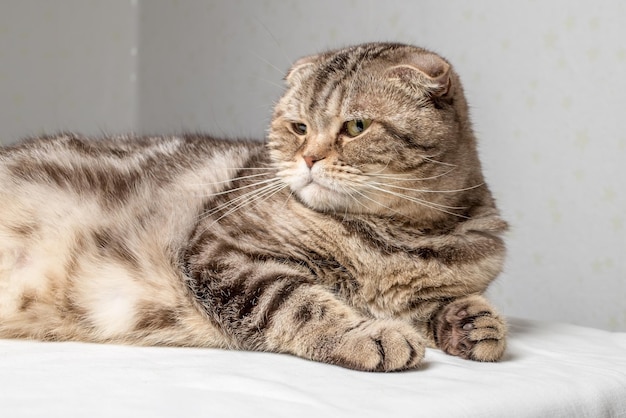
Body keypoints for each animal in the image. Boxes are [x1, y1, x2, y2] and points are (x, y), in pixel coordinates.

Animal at [0, 42, 504, 370]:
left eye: (356, 126)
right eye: (299, 127)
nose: (309, 158)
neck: (398, 240)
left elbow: (447, 300)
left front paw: (474, 322)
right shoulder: (224, 250)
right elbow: (303, 304)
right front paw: (369, 335)